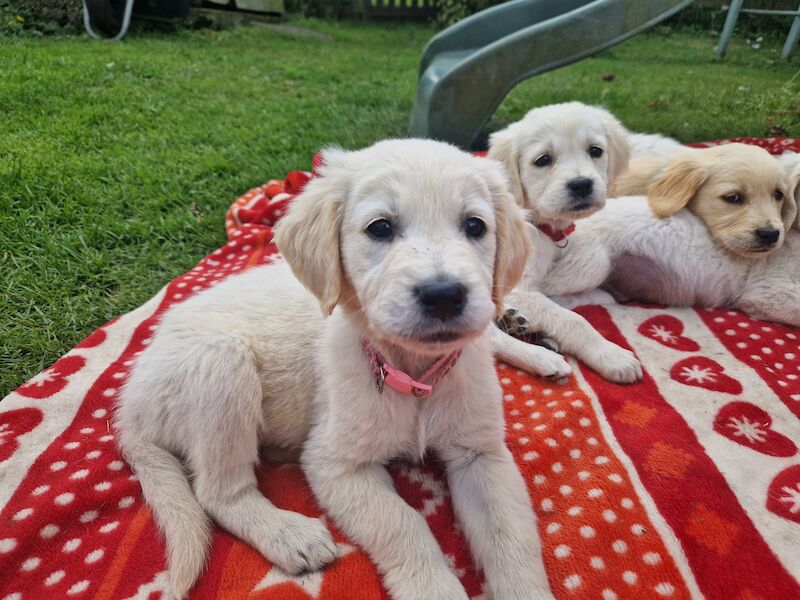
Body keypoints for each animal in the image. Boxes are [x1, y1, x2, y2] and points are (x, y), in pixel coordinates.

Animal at [115, 139, 552, 600]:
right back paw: (289, 535)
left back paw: (536, 349)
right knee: (218, 492)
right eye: (380, 228)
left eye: (474, 226)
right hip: (221, 364)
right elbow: (404, 524)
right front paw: (433, 588)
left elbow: (512, 540)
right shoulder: (334, 463)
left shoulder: (481, 453)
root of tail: (130, 400)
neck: (414, 373)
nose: (444, 294)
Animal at [488, 102, 644, 384]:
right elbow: (573, 319)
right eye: (542, 160)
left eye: (595, 151)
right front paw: (610, 354)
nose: (581, 185)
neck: (540, 225)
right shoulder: (516, 287)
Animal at [536, 145, 800, 324]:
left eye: (779, 195)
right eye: (733, 198)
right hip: (592, 265)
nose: (770, 234)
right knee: (544, 291)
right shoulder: (768, 292)